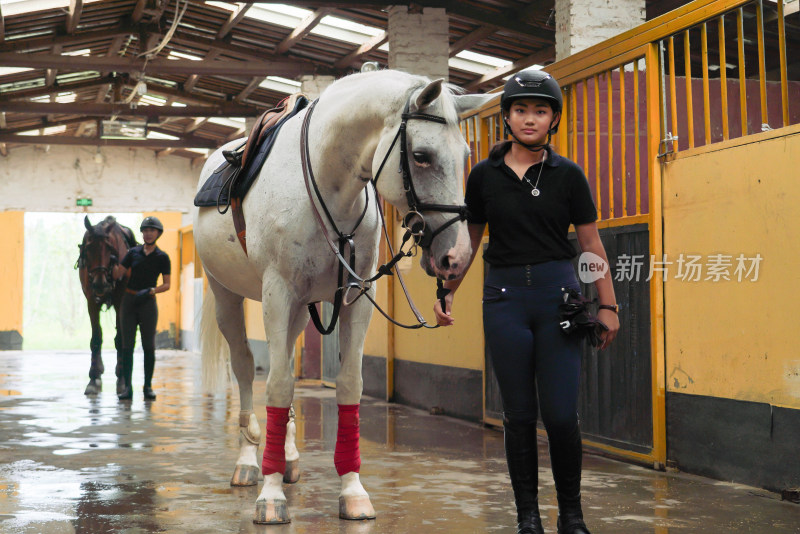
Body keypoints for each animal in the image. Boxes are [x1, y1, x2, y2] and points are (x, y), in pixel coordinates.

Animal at [78, 216, 138, 396]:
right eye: (88, 248)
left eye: (110, 248)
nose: (100, 284)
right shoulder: (91, 301)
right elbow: (96, 338)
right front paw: (94, 378)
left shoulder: (120, 301)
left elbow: (120, 339)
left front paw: (122, 378)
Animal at [194, 69, 494, 524]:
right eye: (421, 155)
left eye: (464, 156)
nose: (455, 257)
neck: (325, 182)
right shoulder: (277, 292)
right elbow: (276, 386)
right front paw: (270, 496)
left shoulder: (355, 294)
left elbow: (348, 385)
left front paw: (353, 491)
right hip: (228, 294)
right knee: (245, 368)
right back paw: (248, 463)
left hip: (301, 310)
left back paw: (289, 459)